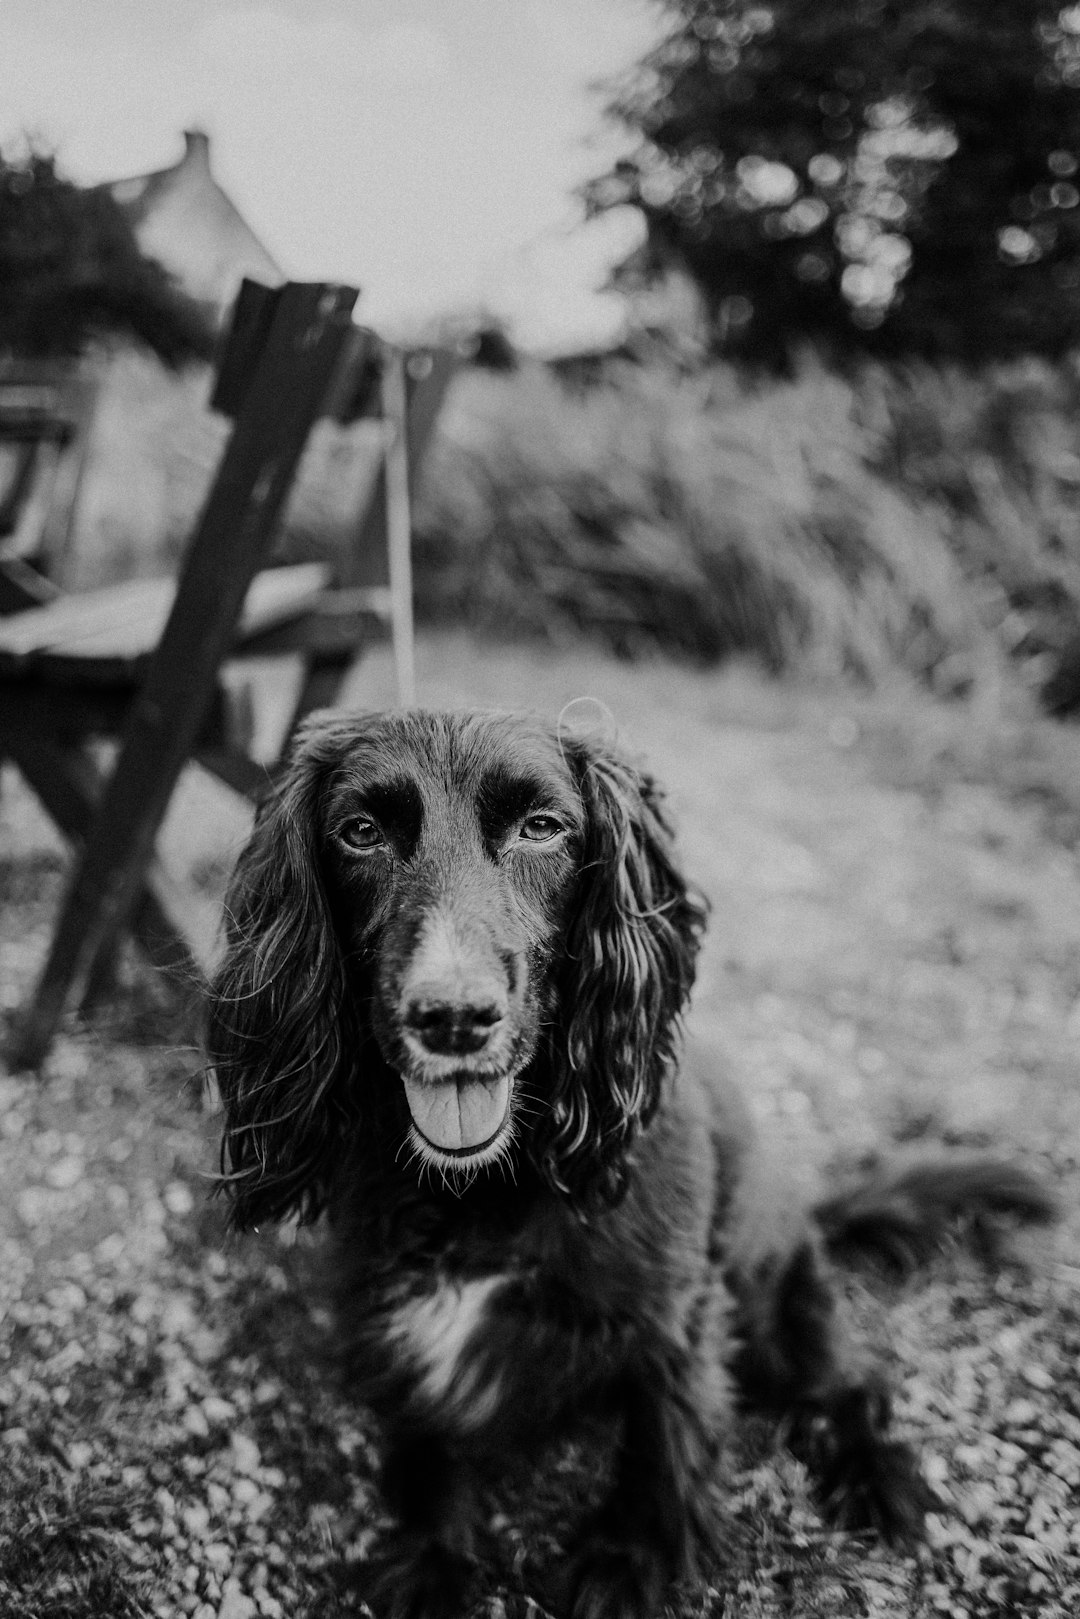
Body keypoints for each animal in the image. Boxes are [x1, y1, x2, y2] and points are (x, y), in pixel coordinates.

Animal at [204, 712, 1055, 1619]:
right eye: (360, 832)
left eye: (542, 826)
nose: (454, 1016)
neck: (488, 1186)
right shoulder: (391, 1309)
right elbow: (428, 1434)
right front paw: (431, 1556)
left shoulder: (675, 1313)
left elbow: (662, 1437)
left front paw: (630, 1555)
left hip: (776, 1304)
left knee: (851, 1382)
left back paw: (878, 1476)